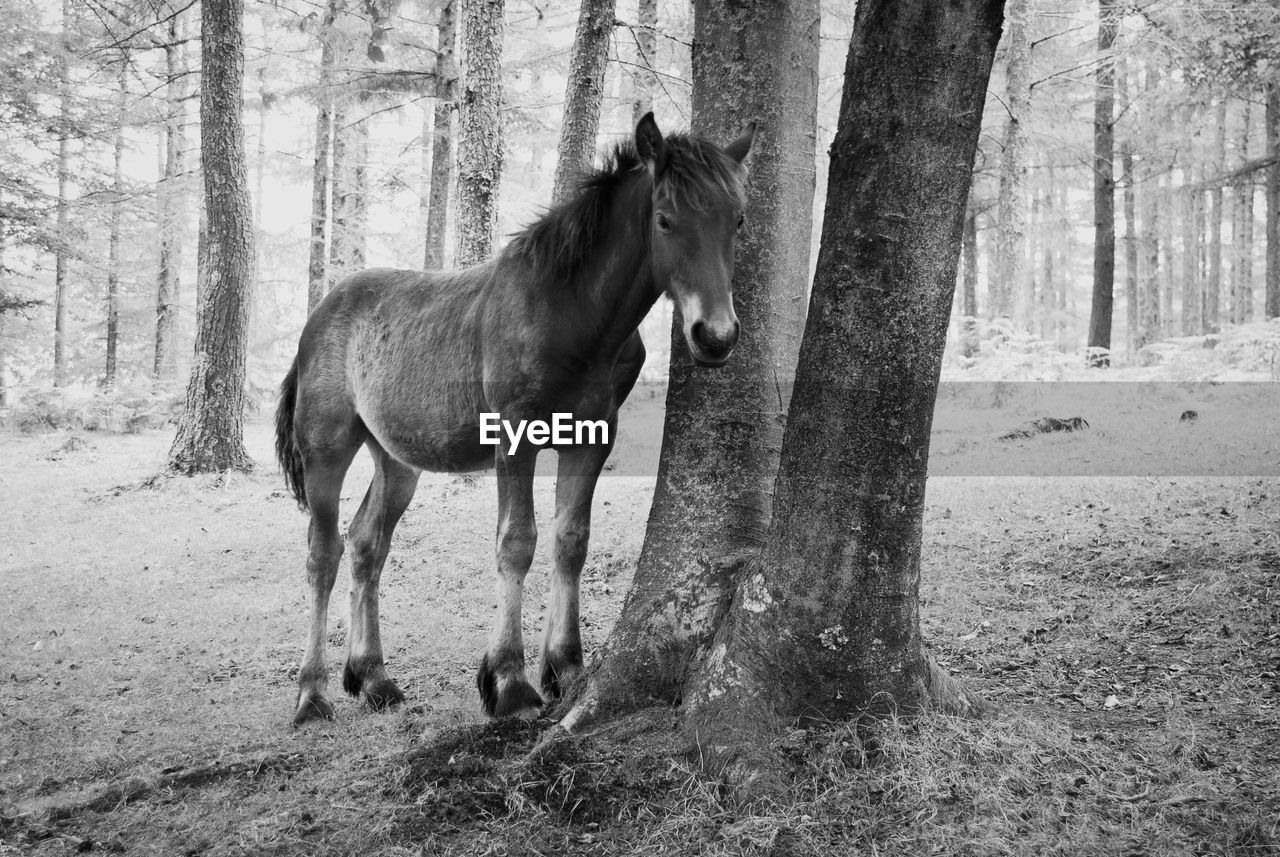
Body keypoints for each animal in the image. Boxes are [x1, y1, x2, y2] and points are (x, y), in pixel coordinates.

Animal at [270, 112, 747, 726]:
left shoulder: (592, 437)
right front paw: (509, 681)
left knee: (366, 544)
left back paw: (372, 677)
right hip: (326, 448)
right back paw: (312, 693)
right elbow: (517, 541)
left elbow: (571, 539)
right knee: (323, 552)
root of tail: (320, 313)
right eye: (665, 220)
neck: (571, 317)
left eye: (737, 220)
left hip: (396, 460)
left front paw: (566, 667)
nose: (715, 336)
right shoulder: (515, 436)